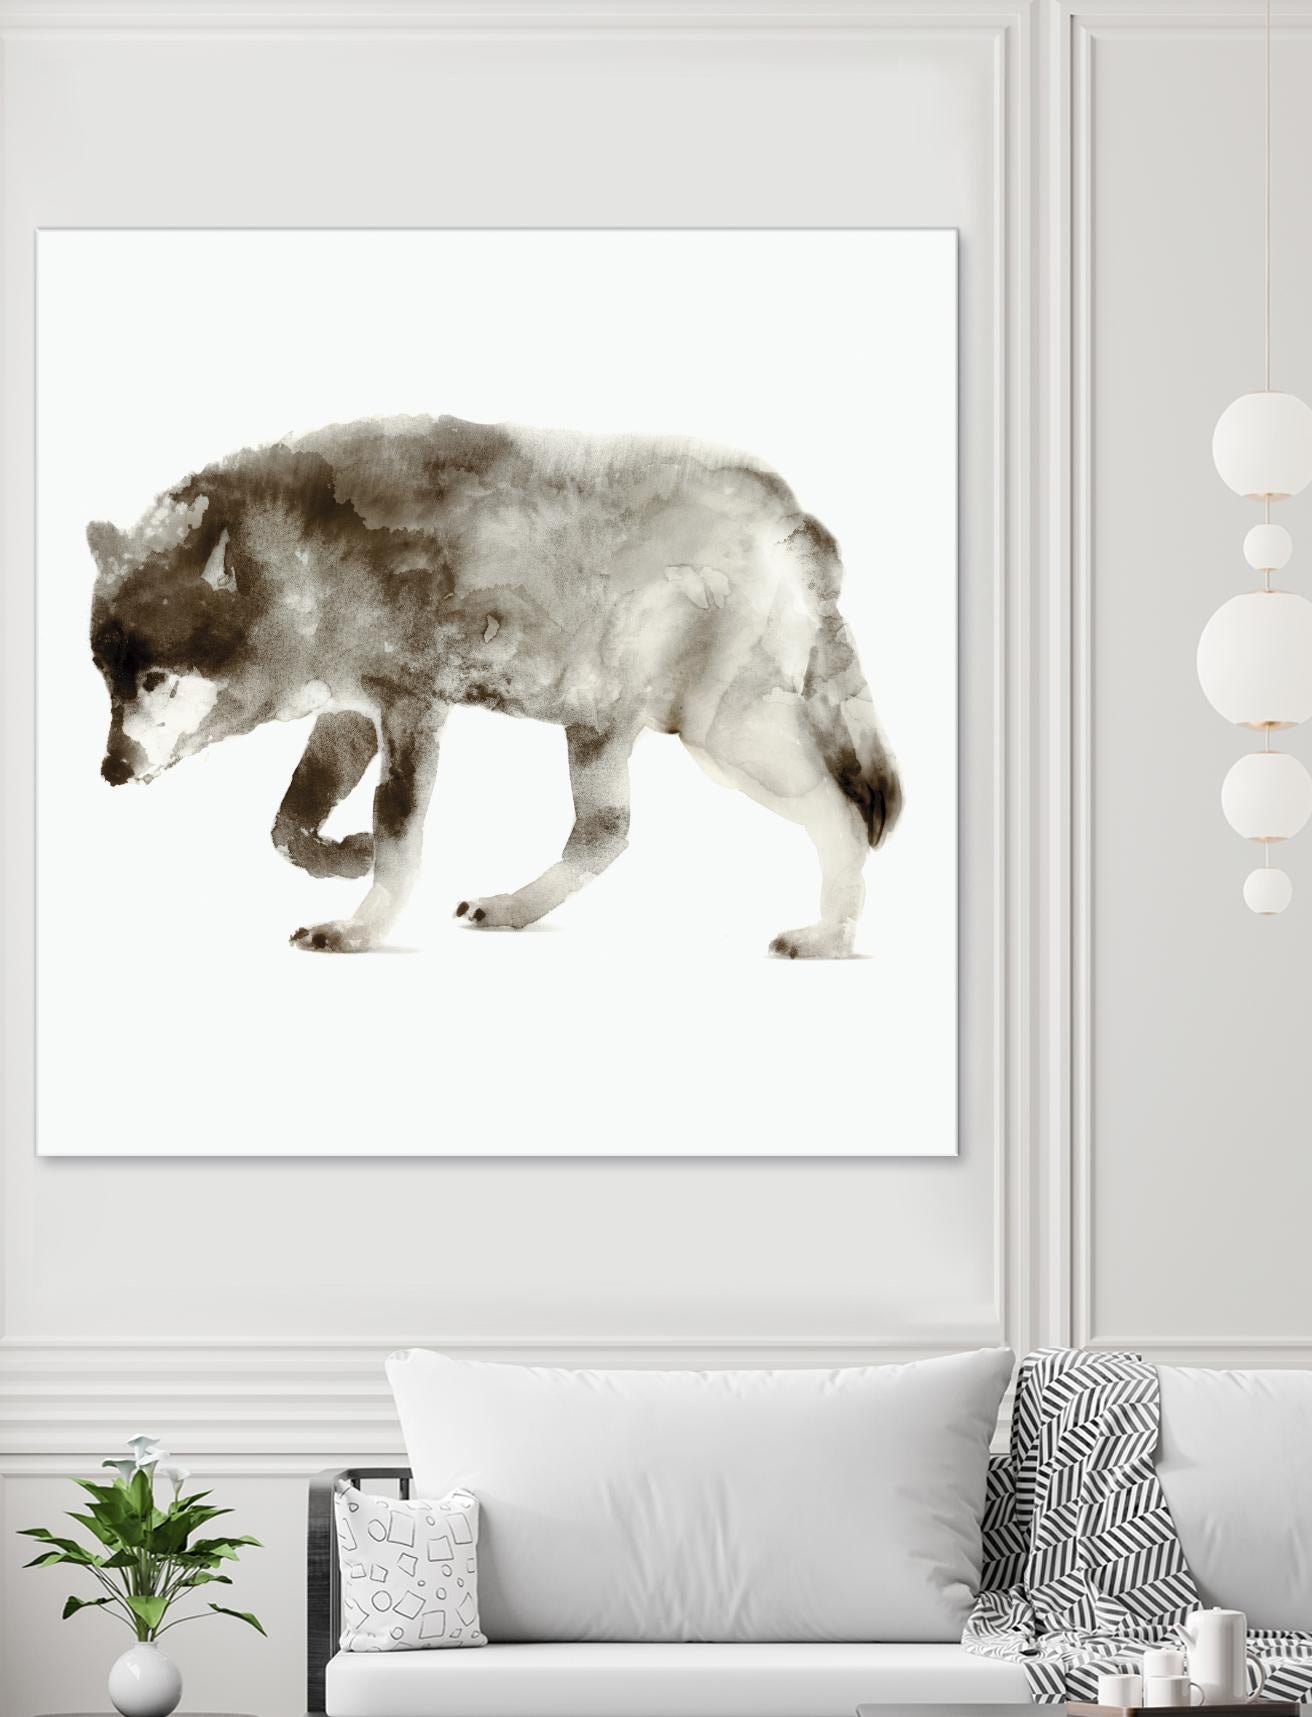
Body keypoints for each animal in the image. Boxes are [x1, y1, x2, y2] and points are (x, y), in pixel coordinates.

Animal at [87, 415, 901, 957]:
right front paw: (344, 855)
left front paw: (358, 926)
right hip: (599, 725)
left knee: (845, 814)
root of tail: (790, 511)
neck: (299, 560)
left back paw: (830, 936)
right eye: (106, 679)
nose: (110, 770)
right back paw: (512, 909)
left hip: (723, 737)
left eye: (155, 678)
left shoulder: (412, 709)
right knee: (606, 833)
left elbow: (397, 833)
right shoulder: (353, 712)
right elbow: (288, 825)